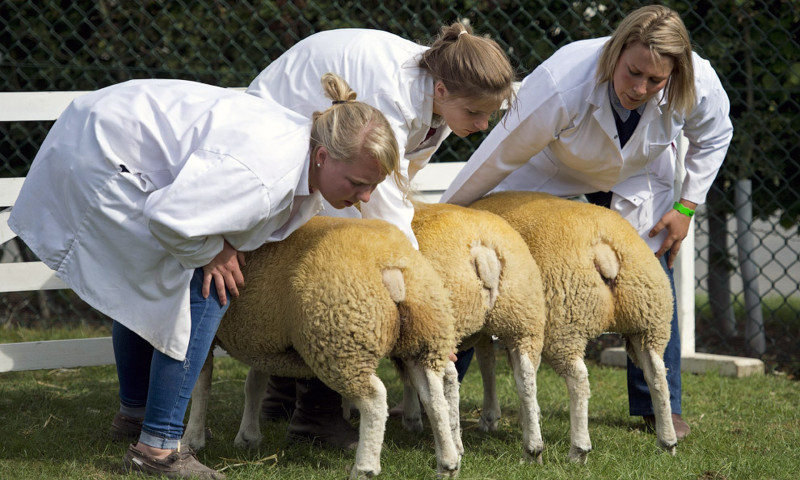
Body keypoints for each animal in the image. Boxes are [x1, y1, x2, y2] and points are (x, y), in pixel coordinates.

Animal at [182, 216, 466, 478]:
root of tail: (392, 266)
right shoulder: (263, 338)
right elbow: (254, 383)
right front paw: (248, 436)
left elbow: (200, 384)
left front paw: (192, 439)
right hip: (424, 335)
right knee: (434, 395)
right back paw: (448, 462)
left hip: (340, 339)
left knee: (374, 399)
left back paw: (364, 468)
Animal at [404, 201, 548, 464]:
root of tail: (483, 252)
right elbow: (487, 362)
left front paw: (411, 419)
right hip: (523, 319)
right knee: (526, 378)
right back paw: (532, 449)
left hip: (444, 325)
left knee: (449, 379)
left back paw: (455, 445)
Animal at [472, 190, 680, 462]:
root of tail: (605, 251)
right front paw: (529, 416)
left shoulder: (493, 325)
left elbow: (487, 364)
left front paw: (491, 417)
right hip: (648, 319)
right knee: (657, 374)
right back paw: (667, 441)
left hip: (565, 323)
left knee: (578, 379)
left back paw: (578, 449)